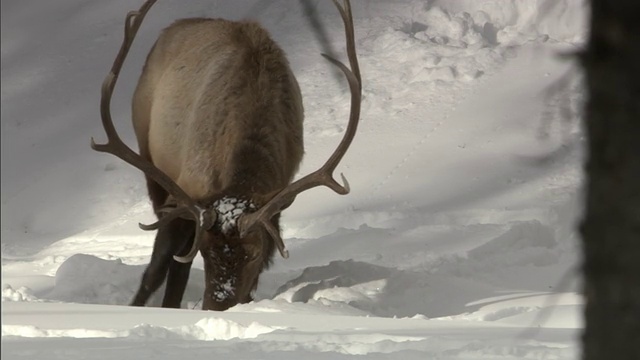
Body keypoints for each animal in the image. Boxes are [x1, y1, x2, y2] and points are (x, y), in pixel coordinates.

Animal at [90, 0, 360, 310]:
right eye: (207, 252)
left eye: (255, 254)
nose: (215, 305)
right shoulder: (185, 191)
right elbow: (158, 267)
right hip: (149, 155)